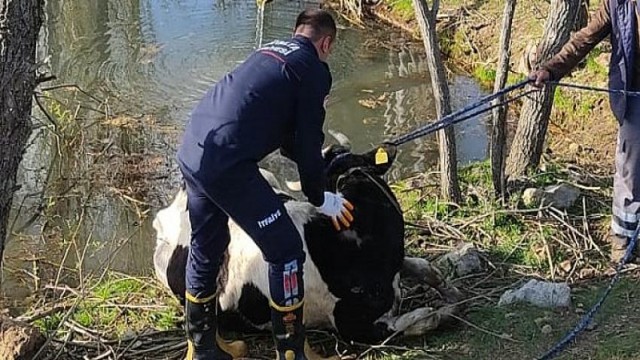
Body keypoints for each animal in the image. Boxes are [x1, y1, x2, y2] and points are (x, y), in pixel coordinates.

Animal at [152, 142, 462, 356]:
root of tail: (170, 212)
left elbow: (425, 267)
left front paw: (450, 291)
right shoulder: (353, 327)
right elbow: (418, 320)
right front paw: (446, 311)